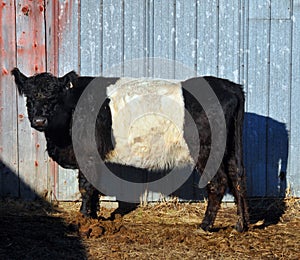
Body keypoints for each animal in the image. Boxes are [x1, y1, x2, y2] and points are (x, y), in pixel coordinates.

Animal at [11, 67, 250, 232]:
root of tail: (231, 87)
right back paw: (241, 225)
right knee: (238, 176)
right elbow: (94, 188)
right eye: (29, 97)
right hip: (232, 148)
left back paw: (205, 225)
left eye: (54, 98)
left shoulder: (87, 153)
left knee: (219, 182)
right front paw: (94, 217)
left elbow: (86, 187)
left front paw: (84, 218)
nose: (39, 120)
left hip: (206, 149)